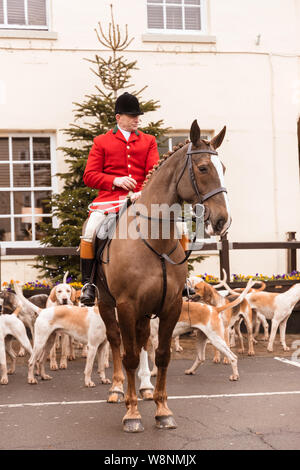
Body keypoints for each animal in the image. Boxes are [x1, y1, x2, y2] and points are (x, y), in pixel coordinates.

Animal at [95, 119, 230, 432]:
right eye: (203, 168)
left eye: (224, 168)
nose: (222, 221)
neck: (154, 242)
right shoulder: (126, 306)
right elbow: (129, 356)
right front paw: (132, 414)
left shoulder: (171, 306)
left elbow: (162, 356)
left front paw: (162, 409)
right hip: (107, 304)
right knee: (116, 340)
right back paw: (118, 389)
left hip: (145, 312)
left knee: (144, 340)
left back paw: (144, 388)